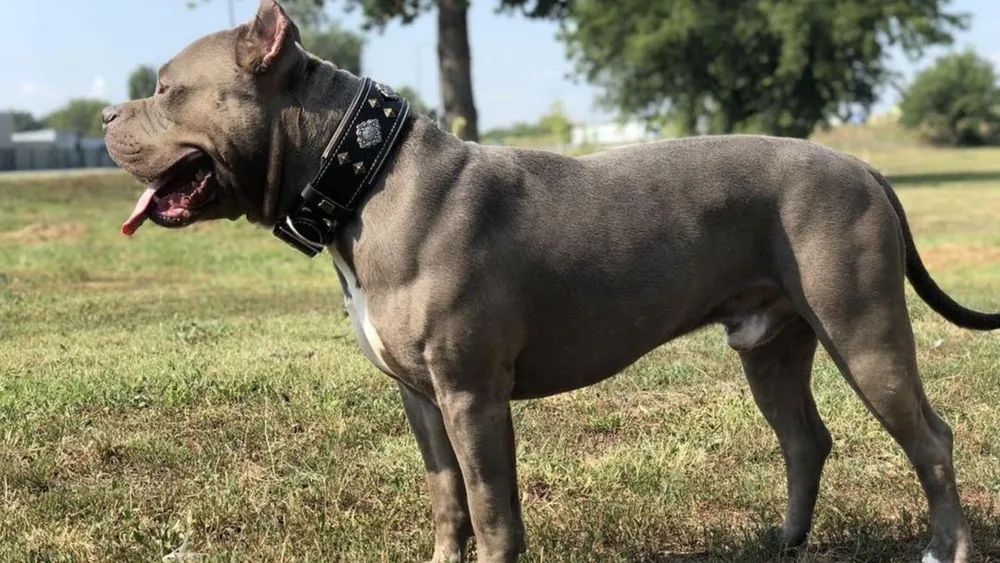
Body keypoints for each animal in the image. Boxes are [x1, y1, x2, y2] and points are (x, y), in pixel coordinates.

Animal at [103, 2, 1000, 560]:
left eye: (164, 88)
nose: (108, 116)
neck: (361, 173)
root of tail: (866, 167)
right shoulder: (421, 396)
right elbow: (449, 498)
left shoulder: (472, 392)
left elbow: (492, 505)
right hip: (771, 346)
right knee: (805, 438)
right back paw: (783, 541)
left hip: (864, 333)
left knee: (932, 439)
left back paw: (940, 548)